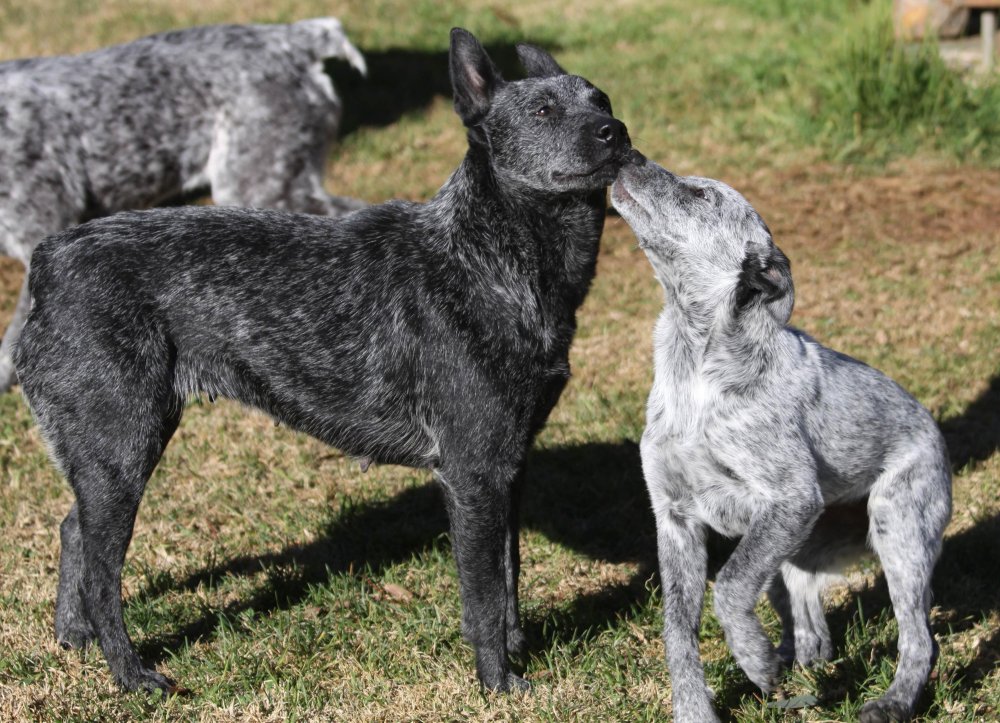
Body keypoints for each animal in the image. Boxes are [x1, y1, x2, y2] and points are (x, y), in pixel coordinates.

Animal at [608, 157, 952, 723]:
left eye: (701, 195)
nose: (627, 153)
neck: (694, 368)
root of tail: (934, 430)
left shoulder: (791, 498)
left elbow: (727, 587)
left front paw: (753, 658)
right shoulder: (676, 519)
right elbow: (678, 631)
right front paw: (697, 709)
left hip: (896, 530)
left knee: (920, 639)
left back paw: (891, 701)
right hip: (791, 549)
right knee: (811, 627)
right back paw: (796, 666)